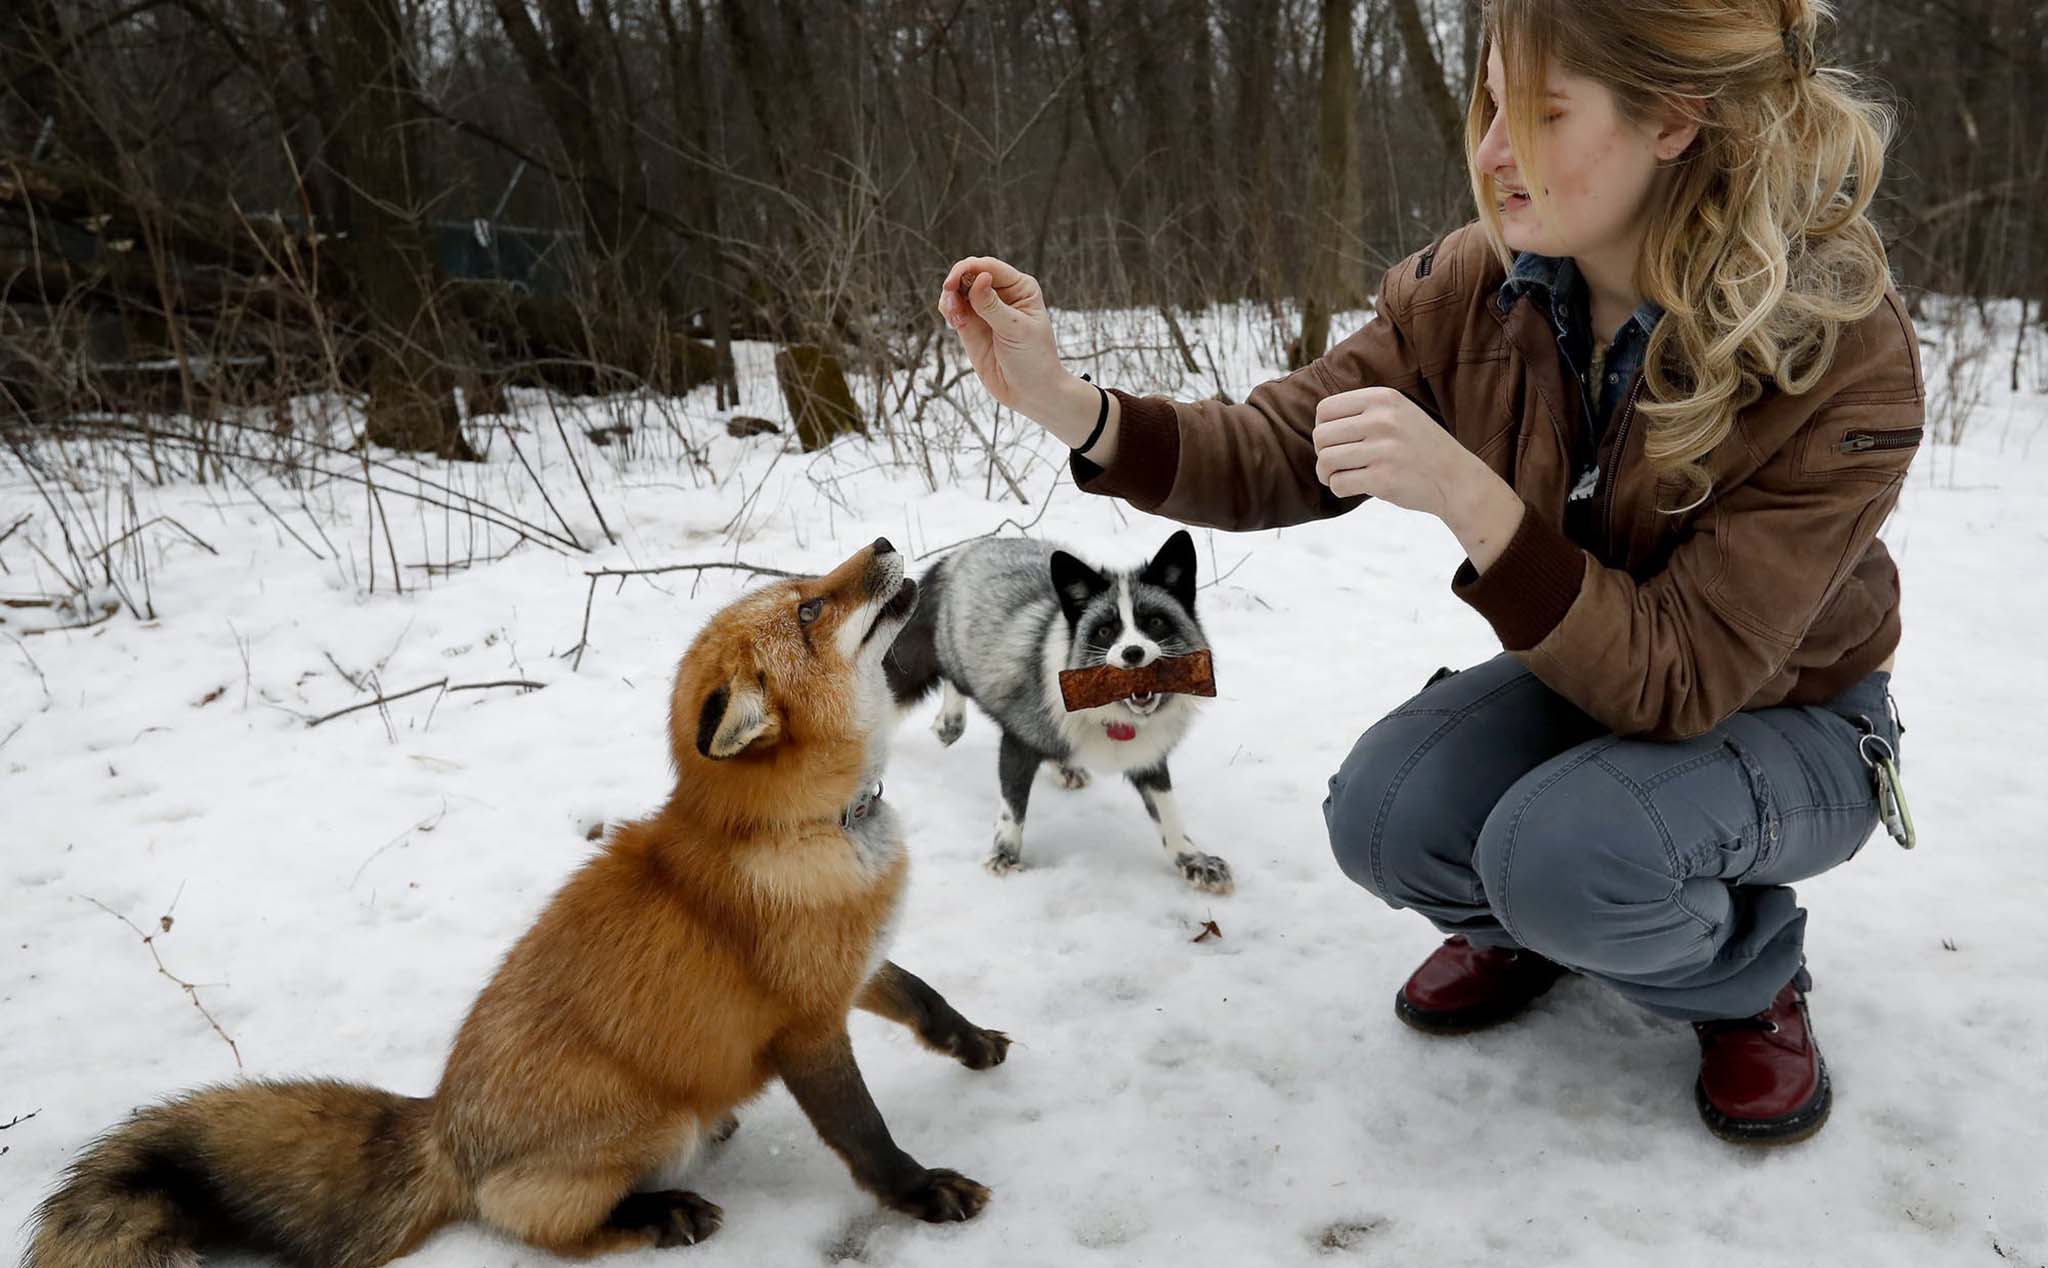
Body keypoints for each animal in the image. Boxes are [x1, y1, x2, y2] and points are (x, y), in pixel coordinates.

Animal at [28, 536, 1019, 1268]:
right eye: (809, 609)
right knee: (538, 1227)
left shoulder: (854, 964)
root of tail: (441, 1124)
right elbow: (865, 1135)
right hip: (653, 1124)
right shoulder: (806, 1025)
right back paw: (658, 1215)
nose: (885, 545)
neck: (807, 827)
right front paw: (924, 1193)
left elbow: (925, 998)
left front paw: (972, 1045)